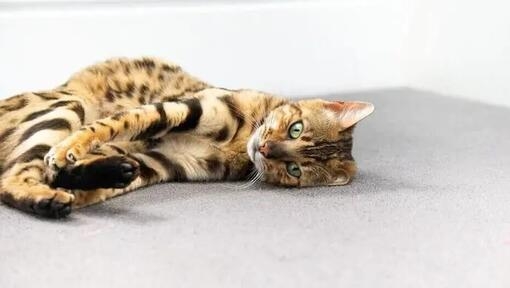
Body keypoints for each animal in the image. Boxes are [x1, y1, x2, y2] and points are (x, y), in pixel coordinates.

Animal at [0, 57, 374, 217]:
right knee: (13, 176)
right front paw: (69, 149)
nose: (266, 149)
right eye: (296, 128)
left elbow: (88, 185)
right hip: (68, 103)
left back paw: (54, 197)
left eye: (294, 169)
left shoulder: (161, 162)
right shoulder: (179, 108)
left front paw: (78, 182)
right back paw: (48, 193)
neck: (240, 144)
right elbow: (108, 126)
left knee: (11, 182)